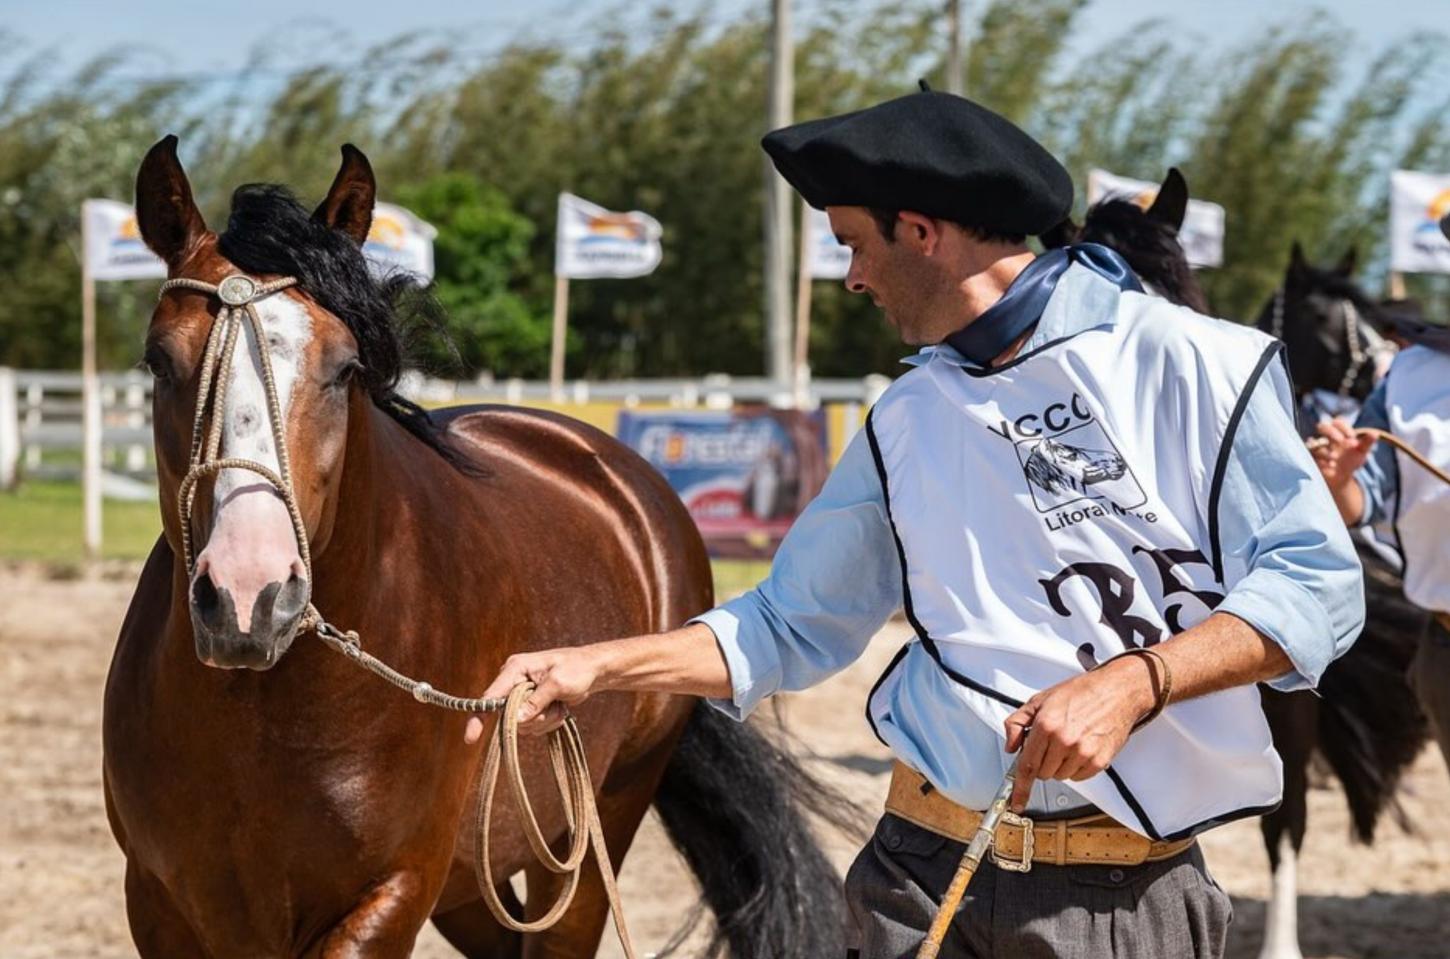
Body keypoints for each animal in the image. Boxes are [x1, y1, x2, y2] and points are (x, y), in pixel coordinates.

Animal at [102, 137, 853, 958]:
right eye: (158, 361)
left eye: (343, 368)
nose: (249, 596)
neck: (263, 714)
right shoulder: (160, 903)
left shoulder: (393, 892)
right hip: (474, 884)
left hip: (589, 841)